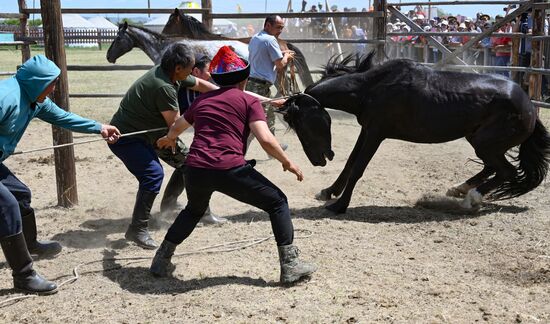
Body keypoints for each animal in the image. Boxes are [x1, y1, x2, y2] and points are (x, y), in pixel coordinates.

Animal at [286, 52, 550, 215]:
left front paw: (339, 205)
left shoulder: (376, 133)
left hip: (485, 143)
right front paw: (328, 192)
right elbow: (350, 163)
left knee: (505, 171)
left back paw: (471, 199)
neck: (370, 88)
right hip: (479, 140)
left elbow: (358, 168)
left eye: (303, 126)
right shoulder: (367, 130)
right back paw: (459, 189)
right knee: (492, 168)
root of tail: (529, 107)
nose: (319, 161)